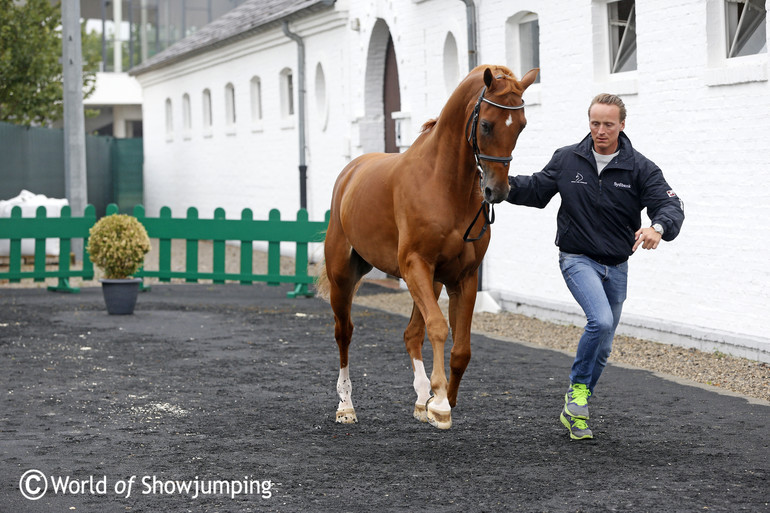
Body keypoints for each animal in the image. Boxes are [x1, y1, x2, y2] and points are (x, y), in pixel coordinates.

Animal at [316, 66, 536, 430]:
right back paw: (346, 405)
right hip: (344, 277)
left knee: (411, 333)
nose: (498, 190)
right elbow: (438, 327)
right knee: (344, 332)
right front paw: (441, 403)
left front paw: (442, 399)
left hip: (430, 282)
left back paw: (421, 400)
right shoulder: (415, 265)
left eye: (521, 125)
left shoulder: (462, 277)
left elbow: (460, 348)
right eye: (487, 124)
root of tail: (350, 172)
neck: (443, 184)